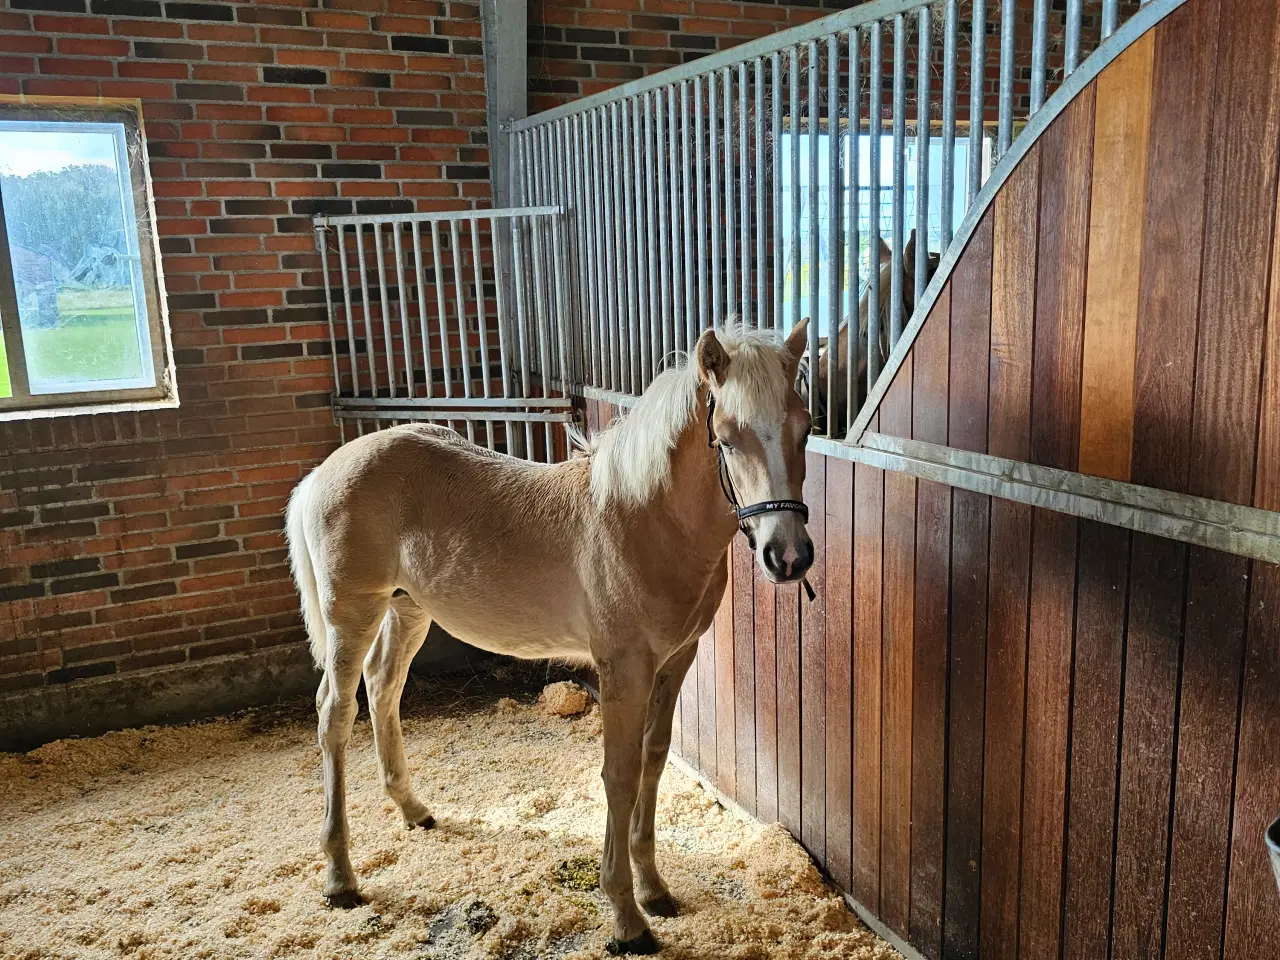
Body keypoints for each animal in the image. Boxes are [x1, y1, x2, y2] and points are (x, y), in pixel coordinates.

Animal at [286, 321, 814, 957]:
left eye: (806, 426)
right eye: (729, 439)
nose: (788, 556)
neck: (643, 523)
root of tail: (323, 472)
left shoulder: (674, 663)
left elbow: (653, 760)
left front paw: (655, 889)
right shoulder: (623, 669)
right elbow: (619, 774)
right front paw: (627, 918)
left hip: (407, 608)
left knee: (384, 687)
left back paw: (414, 810)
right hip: (352, 615)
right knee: (335, 715)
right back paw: (341, 877)